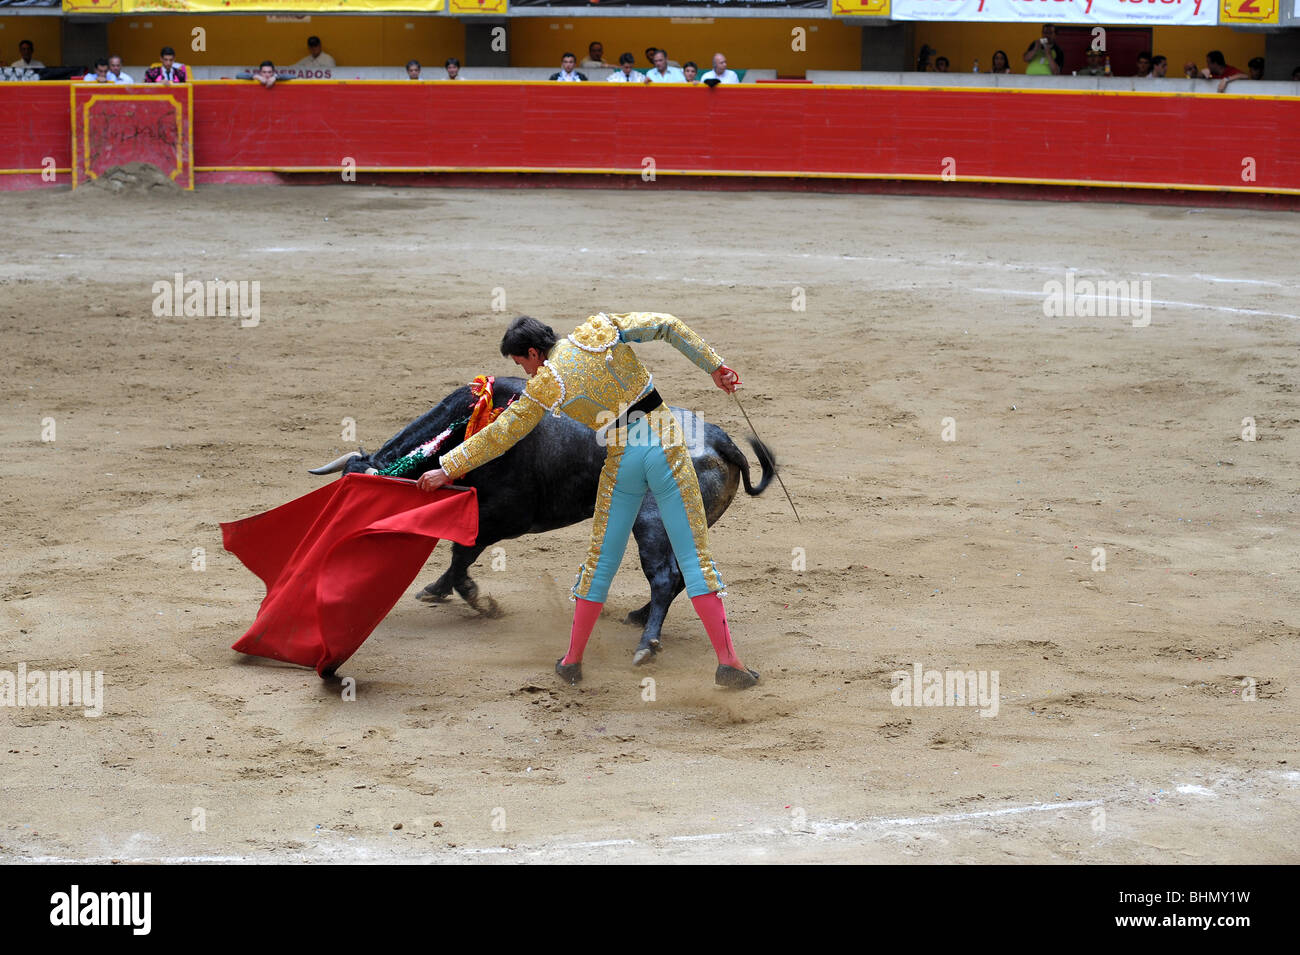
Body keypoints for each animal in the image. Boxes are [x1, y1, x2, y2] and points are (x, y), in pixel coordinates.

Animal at [306, 374, 769, 665]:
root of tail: (720, 439)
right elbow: (458, 556)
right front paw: (438, 590)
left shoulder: (500, 519)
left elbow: (461, 555)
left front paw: (477, 600)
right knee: (681, 577)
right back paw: (639, 620)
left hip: (652, 524)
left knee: (663, 577)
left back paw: (644, 644)